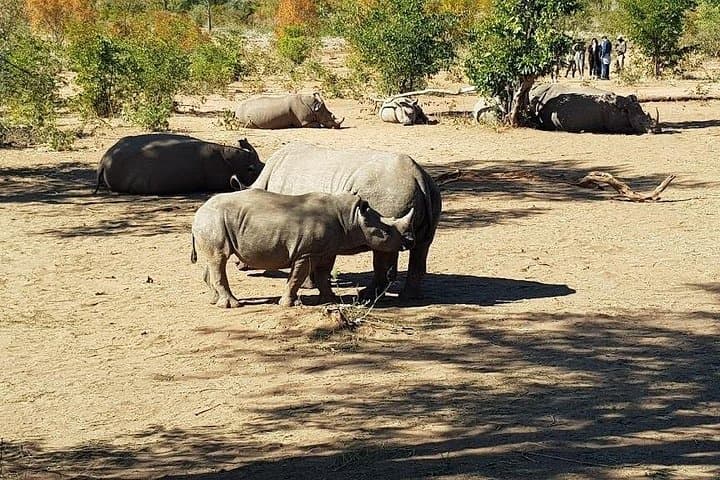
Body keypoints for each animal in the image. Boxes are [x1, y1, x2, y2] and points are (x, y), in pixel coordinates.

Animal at [191, 189, 415, 308]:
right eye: (386, 232)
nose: (409, 241)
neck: (351, 218)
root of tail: (198, 213)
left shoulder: (327, 250)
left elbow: (323, 274)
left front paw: (330, 300)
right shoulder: (305, 252)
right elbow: (298, 277)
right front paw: (287, 304)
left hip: (212, 222)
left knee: (213, 260)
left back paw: (214, 300)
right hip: (213, 220)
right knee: (219, 259)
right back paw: (233, 305)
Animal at [251, 142, 442, 300]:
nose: (245, 267)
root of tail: (417, 175)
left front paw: (307, 286)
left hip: (388, 195)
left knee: (382, 249)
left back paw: (366, 295)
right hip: (430, 192)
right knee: (421, 245)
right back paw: (408, 297)